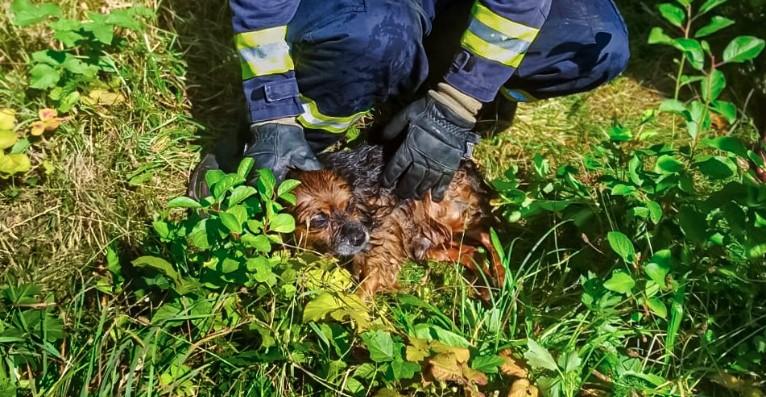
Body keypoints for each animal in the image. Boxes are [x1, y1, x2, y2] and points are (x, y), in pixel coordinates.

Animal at [290, 144, 504, 296]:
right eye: (319, 220)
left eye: (350, 205)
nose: (360, 237)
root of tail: (465, 162)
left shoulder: (381, 246)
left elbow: (359, 296)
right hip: (423, 242)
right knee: (470, 251)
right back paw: (486, 287)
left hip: (448, 213)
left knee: (488, 235)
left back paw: (501, 276)